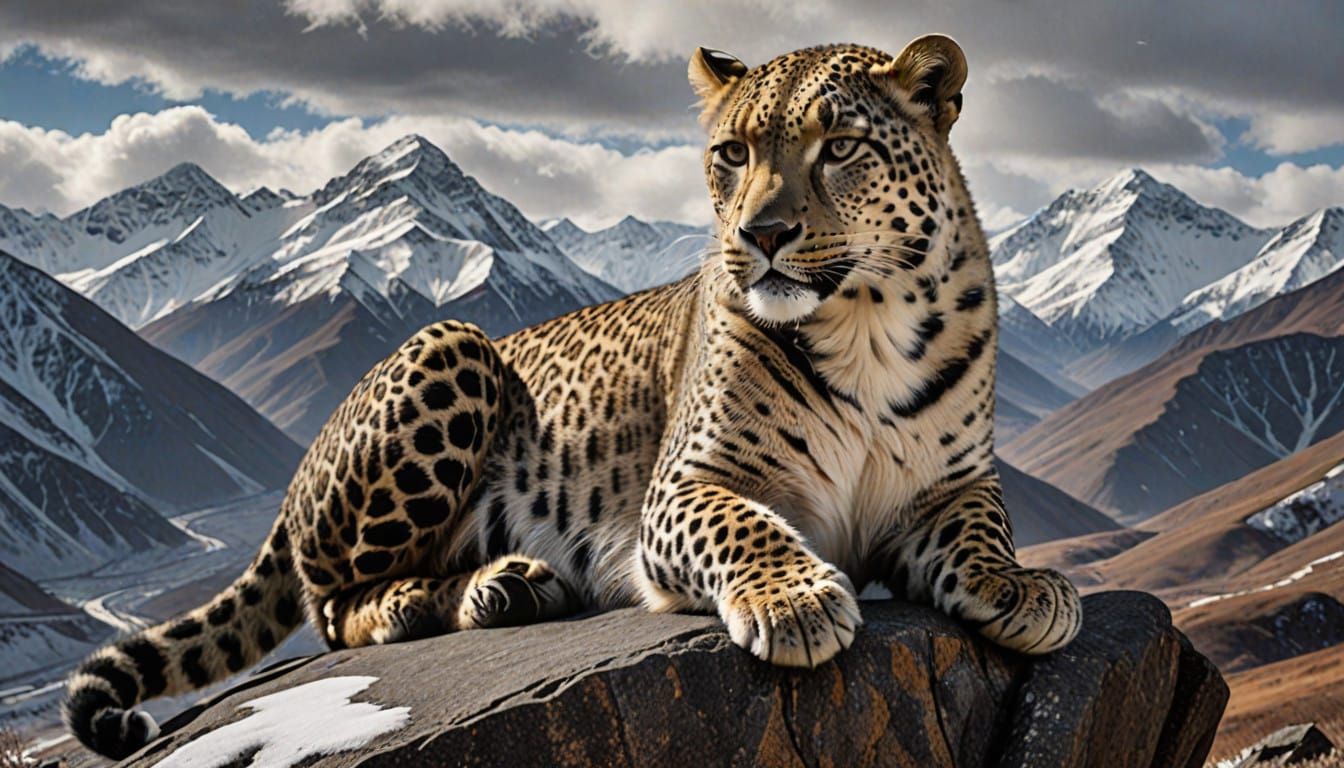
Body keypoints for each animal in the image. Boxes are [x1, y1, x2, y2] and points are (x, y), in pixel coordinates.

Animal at [65, 34, 1082, 759]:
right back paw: (439, 596)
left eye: (839, 148)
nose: (760, 234)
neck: (867, 325)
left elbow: (983, 529)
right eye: (731, 153)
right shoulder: (686, 487)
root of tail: (301, 467)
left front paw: (1024, 586)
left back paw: (503, 588)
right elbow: (746, 527)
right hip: (453, 345)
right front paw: (796, 600)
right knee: (331, 605)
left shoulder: (952, 483)